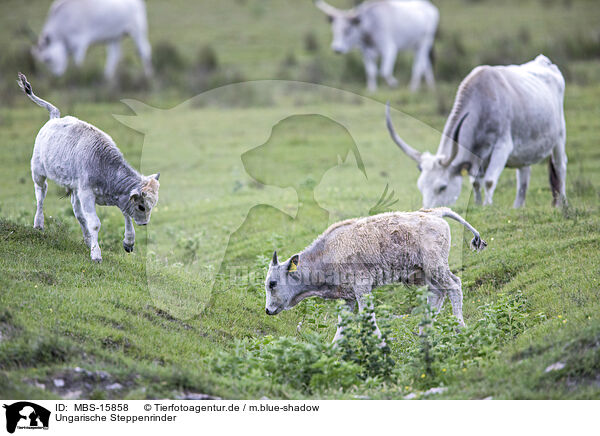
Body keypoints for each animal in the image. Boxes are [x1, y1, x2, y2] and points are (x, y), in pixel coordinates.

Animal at [17, 73, 161, 262]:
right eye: (142, 207)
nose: (144, 223)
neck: (104, 167)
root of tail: (55, 117)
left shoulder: (108, 196)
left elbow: (124, 213)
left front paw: (128, 242)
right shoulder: (86, 193)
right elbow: (95, 223)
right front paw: (96, 254)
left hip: (73, 187)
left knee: (77, 213)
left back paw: (86, 240)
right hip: (38, 172)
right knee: (41, 195)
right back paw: (39, 224)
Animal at [266, 206, 488, 342]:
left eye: (272, 283)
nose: (268, 310)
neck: (328, 252)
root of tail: (435, 213)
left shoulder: (362, 287)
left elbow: (368, 317)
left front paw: (381, 345)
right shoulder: (347, 298)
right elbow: (341, 327)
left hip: (436, 266)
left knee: (454, 286)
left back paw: (459, 327)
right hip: (420, 274)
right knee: (437, 292)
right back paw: (424, 331)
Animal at [384, 55, 568, 209]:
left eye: (442, 187)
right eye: (421, 187)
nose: (426, 210)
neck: (482, 103)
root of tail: (544, 62)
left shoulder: (502, 147)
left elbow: (489, 181)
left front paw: (487, 205)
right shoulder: (476, 155)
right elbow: (476, 183)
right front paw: (478, 205)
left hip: (559, 137)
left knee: (560, 167)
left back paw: (561, 203)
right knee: (523, 174)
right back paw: (518, 206)